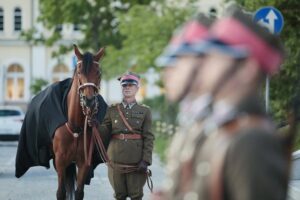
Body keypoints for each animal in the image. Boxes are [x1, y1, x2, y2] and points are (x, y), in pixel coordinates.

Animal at [53, 44, 105, 199]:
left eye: (98, 73)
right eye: (79, 72)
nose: (89, 100)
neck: (75, 127)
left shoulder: (83, 163)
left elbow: (79, 192)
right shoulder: (60, 162)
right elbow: (61, 192)